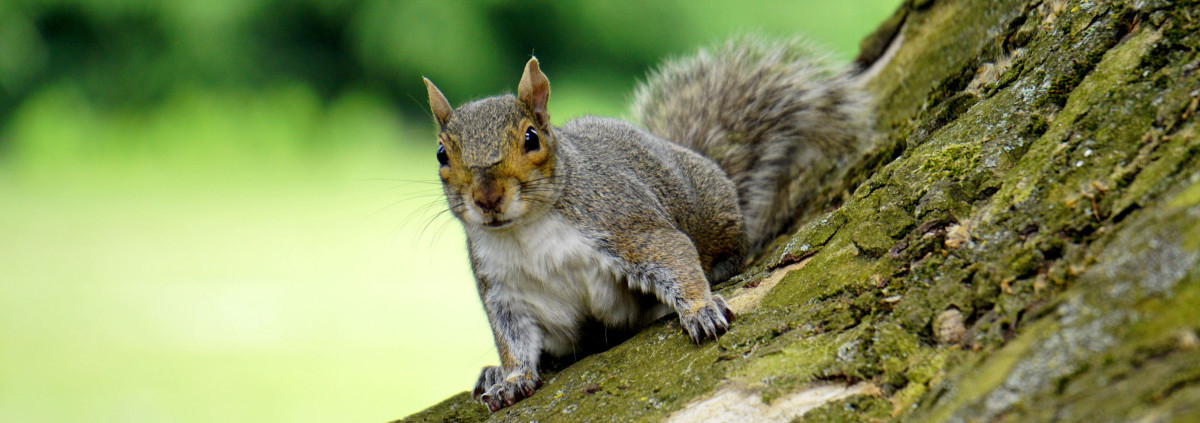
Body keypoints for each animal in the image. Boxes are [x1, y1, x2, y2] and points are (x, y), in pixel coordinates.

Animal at [421, 35, 873, 412]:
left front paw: (701, 309)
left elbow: (673, 254)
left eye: (532, 138)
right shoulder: (504, 290)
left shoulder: (625, 223)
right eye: (442, 154)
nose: (487, 198)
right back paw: (492, 373)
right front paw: (511, 379)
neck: (526, 231)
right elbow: (512, 340)